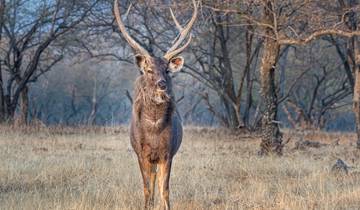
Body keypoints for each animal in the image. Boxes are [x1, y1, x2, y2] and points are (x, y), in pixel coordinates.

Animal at [113, 0, 197, 209]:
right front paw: (146, 205)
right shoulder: (141, 153)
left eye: (167, 70)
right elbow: (147, 189)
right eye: (149, 70)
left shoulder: (167, 153)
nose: (162, 85)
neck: (153, 131)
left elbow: (164, 189)